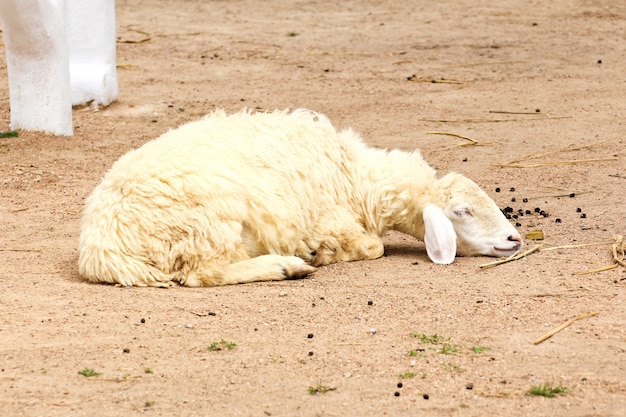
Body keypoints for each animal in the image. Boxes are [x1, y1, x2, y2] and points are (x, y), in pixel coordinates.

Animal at [77, 109, 520, 286]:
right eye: (462, 212)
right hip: (206, 223)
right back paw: (287, 266)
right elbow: (373, 247)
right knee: (203, 274)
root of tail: (100, 248)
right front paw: (324, 254)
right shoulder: (329, 220)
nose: (515, 238)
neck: (356, 176)